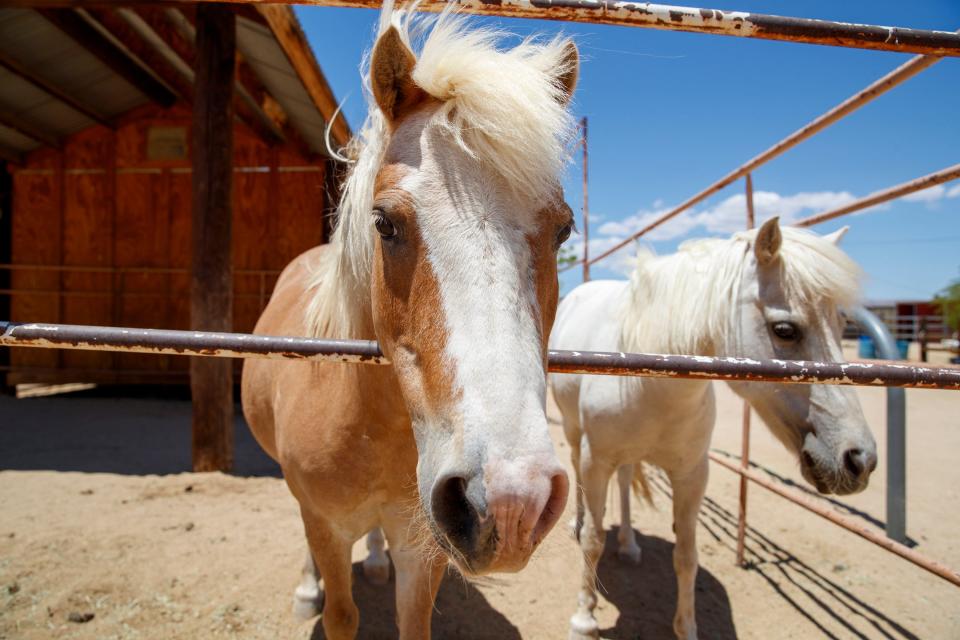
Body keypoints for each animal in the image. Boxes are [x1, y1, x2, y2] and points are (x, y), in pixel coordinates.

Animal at [244, 6, 580, 640]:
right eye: (383, 222)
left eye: (565, 229)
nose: (511, 504)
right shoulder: (327, 527)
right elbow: (340, 613)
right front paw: (316, 594)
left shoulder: (421, 550)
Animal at [548, 218, 876, 636]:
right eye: (785, 330)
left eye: (842, 324)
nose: (860, 460)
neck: (653, 382)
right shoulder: (597, 461)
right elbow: (593, 540)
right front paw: (584, 619)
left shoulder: (692, 473)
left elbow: (687, 556)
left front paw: (686, 628)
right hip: (576, 436)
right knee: (578, 475)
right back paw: (579, 523)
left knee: (624, 483)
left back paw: (629, 543)